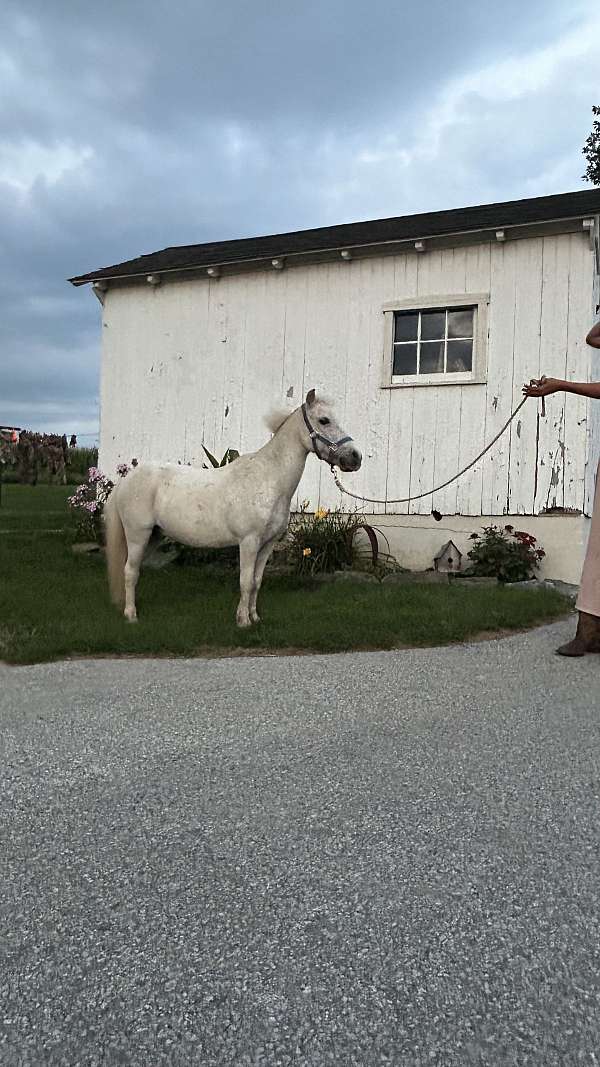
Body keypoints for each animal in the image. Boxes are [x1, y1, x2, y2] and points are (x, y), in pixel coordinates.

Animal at [102, 392, 358, 623]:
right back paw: (131, 615)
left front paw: (254, 617)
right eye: (324, 420)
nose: (356, 457)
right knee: (130, 571)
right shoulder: (249, 541)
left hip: (153, 536)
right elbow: (245, 581)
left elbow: (256, 582)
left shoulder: (267, 544)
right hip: (138, 535)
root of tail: (127, 478)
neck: (268, 478)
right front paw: (243, 621)